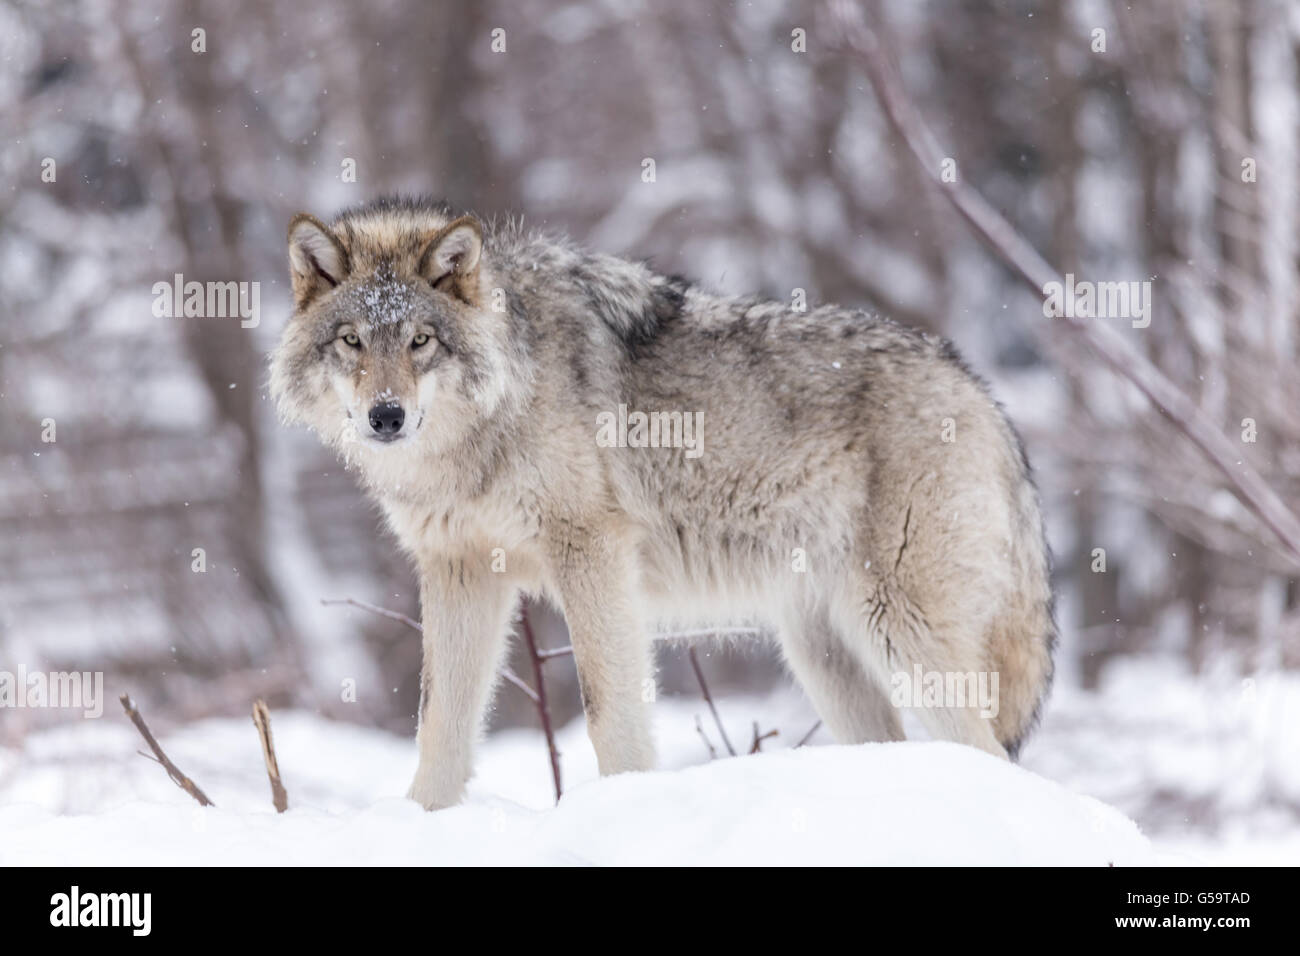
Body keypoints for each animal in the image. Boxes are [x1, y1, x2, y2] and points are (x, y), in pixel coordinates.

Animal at [271, 197, 1055, 811]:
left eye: (420, 341)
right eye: (352, 341)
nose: (386, 417)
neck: (486, 424)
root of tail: (981, 392)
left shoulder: (590, 552)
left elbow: (608, 710)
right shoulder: (459, 569)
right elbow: (439, 724)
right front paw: (422, 820)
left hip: (902, 634)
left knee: (991, 753)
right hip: (826, 654)